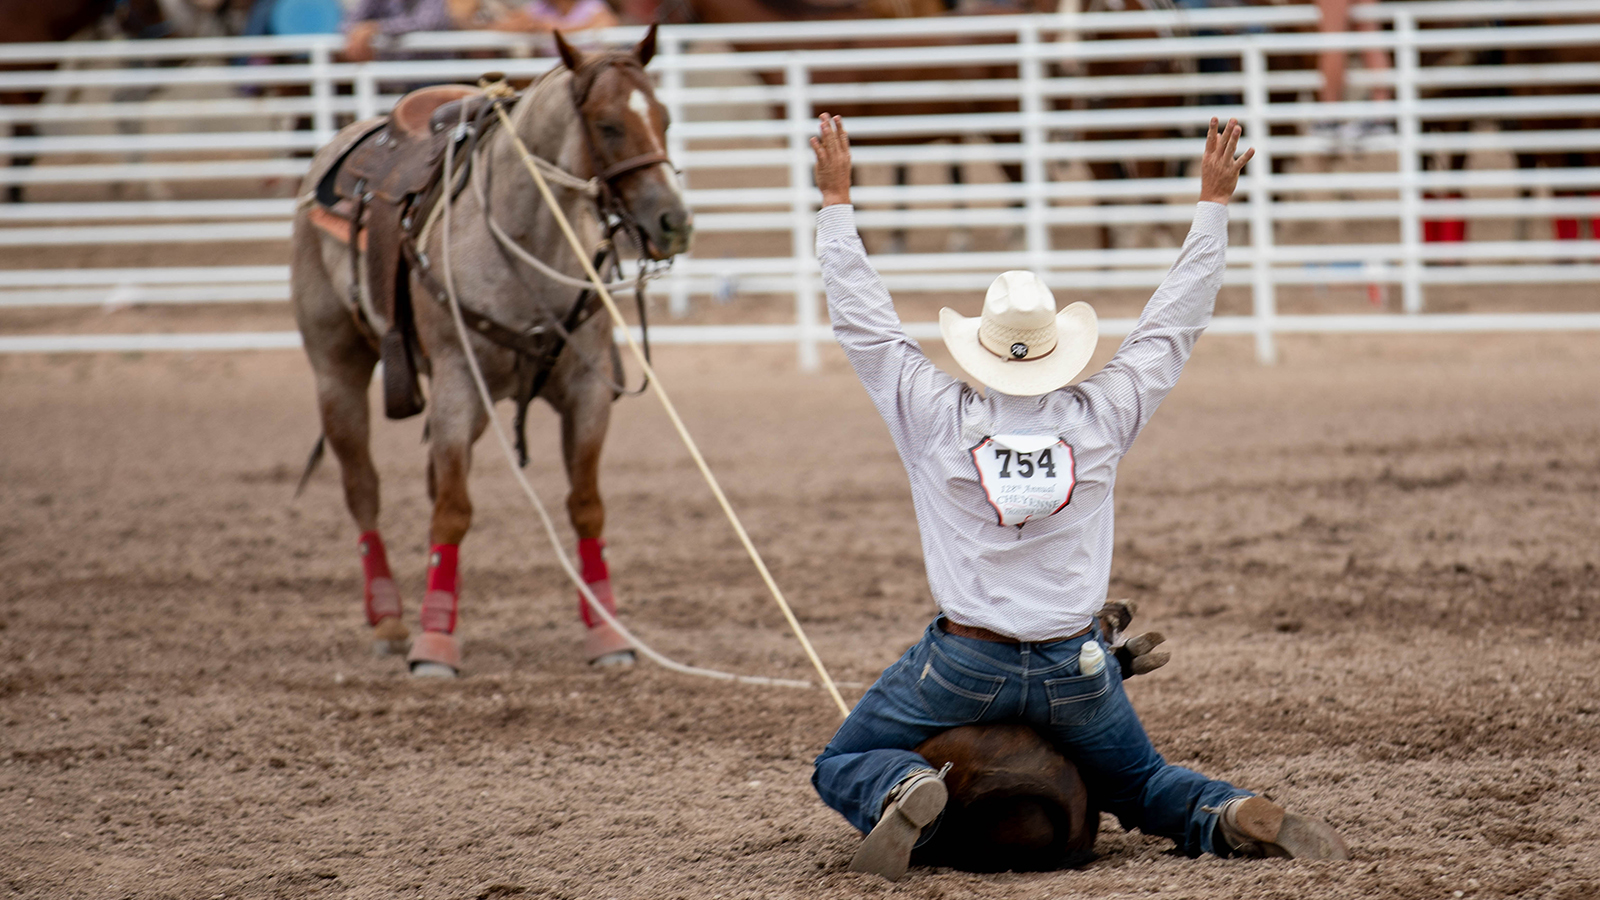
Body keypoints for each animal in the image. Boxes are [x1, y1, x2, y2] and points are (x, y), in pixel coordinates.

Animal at [291, 26, 691, 672]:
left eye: (664, 117)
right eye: (607, 125)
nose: (674, 222)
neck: (526, 236)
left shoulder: (587, 390)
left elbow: (586, 503)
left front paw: (608, 634)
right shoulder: (458, 384)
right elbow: (453, 511)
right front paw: (434, 645)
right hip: (337, 368)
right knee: (363, 488)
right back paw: (390, 620)